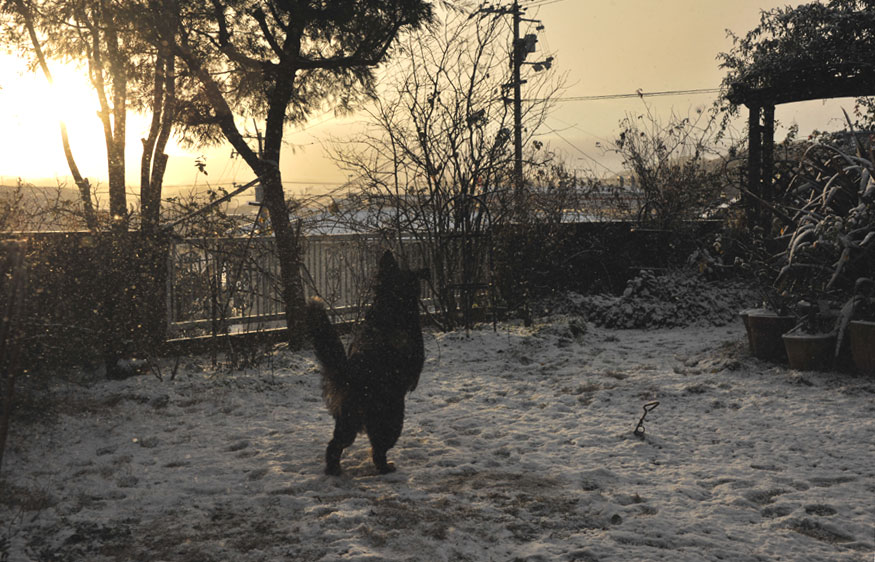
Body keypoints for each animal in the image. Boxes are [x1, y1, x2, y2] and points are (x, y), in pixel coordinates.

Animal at [306, 249, 430, 472]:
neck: (390, 302)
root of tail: (352, 376)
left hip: (347, 422)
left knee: (334, 445)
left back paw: (333, 470)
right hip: (392, 419)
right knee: (378, 450)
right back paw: (386, 467)